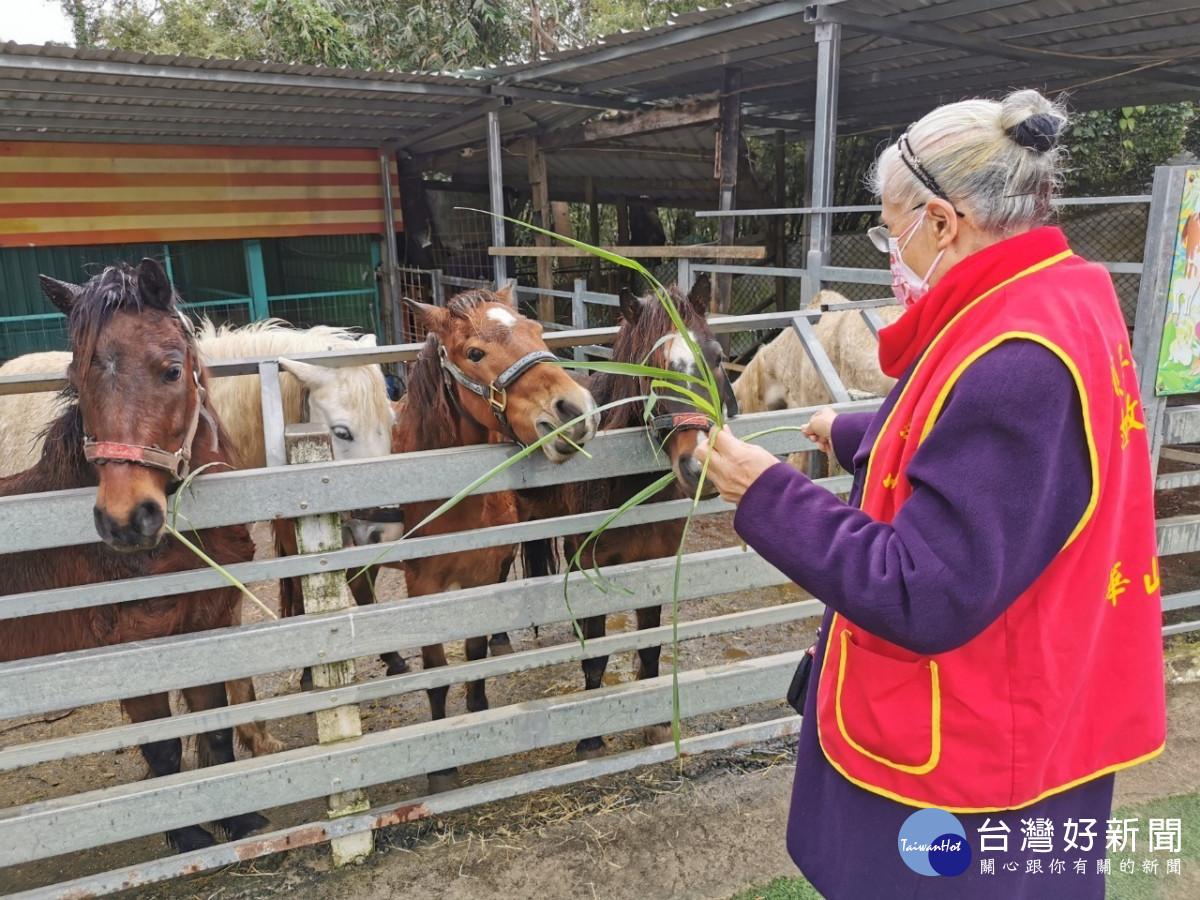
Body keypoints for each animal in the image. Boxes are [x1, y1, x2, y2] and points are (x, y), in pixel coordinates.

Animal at [0, 260, 267, 854]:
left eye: (172, 371)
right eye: (78, 380)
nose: (125, 520)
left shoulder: (205, 626)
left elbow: (216, 728)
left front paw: (238, 820)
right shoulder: (136, 650)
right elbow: (163, 748)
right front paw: (188, 837)